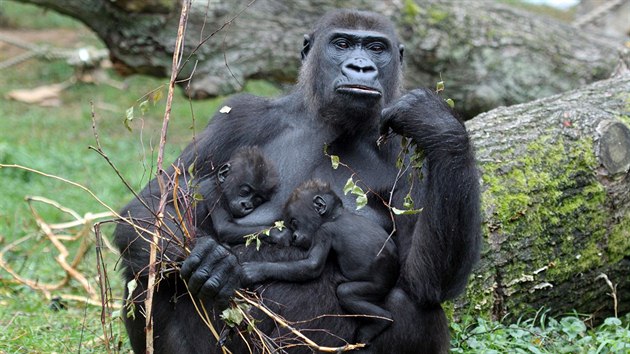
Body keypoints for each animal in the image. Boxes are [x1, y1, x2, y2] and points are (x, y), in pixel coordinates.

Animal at [242, 178, 400, 344]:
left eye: (294, 222)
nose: (294, 237)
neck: (336, 215)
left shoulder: (324, 231)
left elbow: (312, 266)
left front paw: (256, 271)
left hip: (378, 286)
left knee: (346, 293)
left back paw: (381, 321)